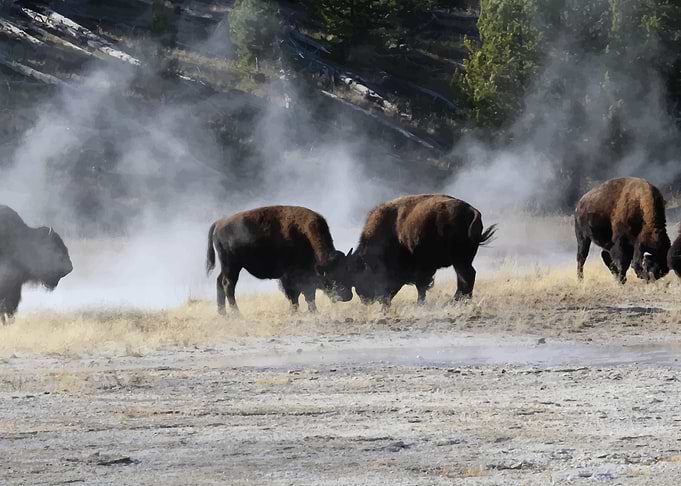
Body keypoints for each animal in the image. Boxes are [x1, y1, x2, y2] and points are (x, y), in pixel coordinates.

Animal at [206, 205, 353, 314]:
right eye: (331, 277)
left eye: (346, 271)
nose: (347, 296)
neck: (306, 236)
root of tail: (219, 222)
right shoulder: (290, 276)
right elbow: (298, 295)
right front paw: (299, 312)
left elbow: (306, 295)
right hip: (232, 266)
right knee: (228, 285)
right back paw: (237, 314)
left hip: (228, 267)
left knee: (219, 282)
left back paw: (223, 313)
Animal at [348, 194, 496, 308]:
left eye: (363, 277)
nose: (365, 299)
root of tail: (473, 212)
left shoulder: (421, 268)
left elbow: (421, 286)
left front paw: (419, 303)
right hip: (462, 260)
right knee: (465, 277)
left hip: (459, 259)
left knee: (466, 276)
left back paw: (456, 301)